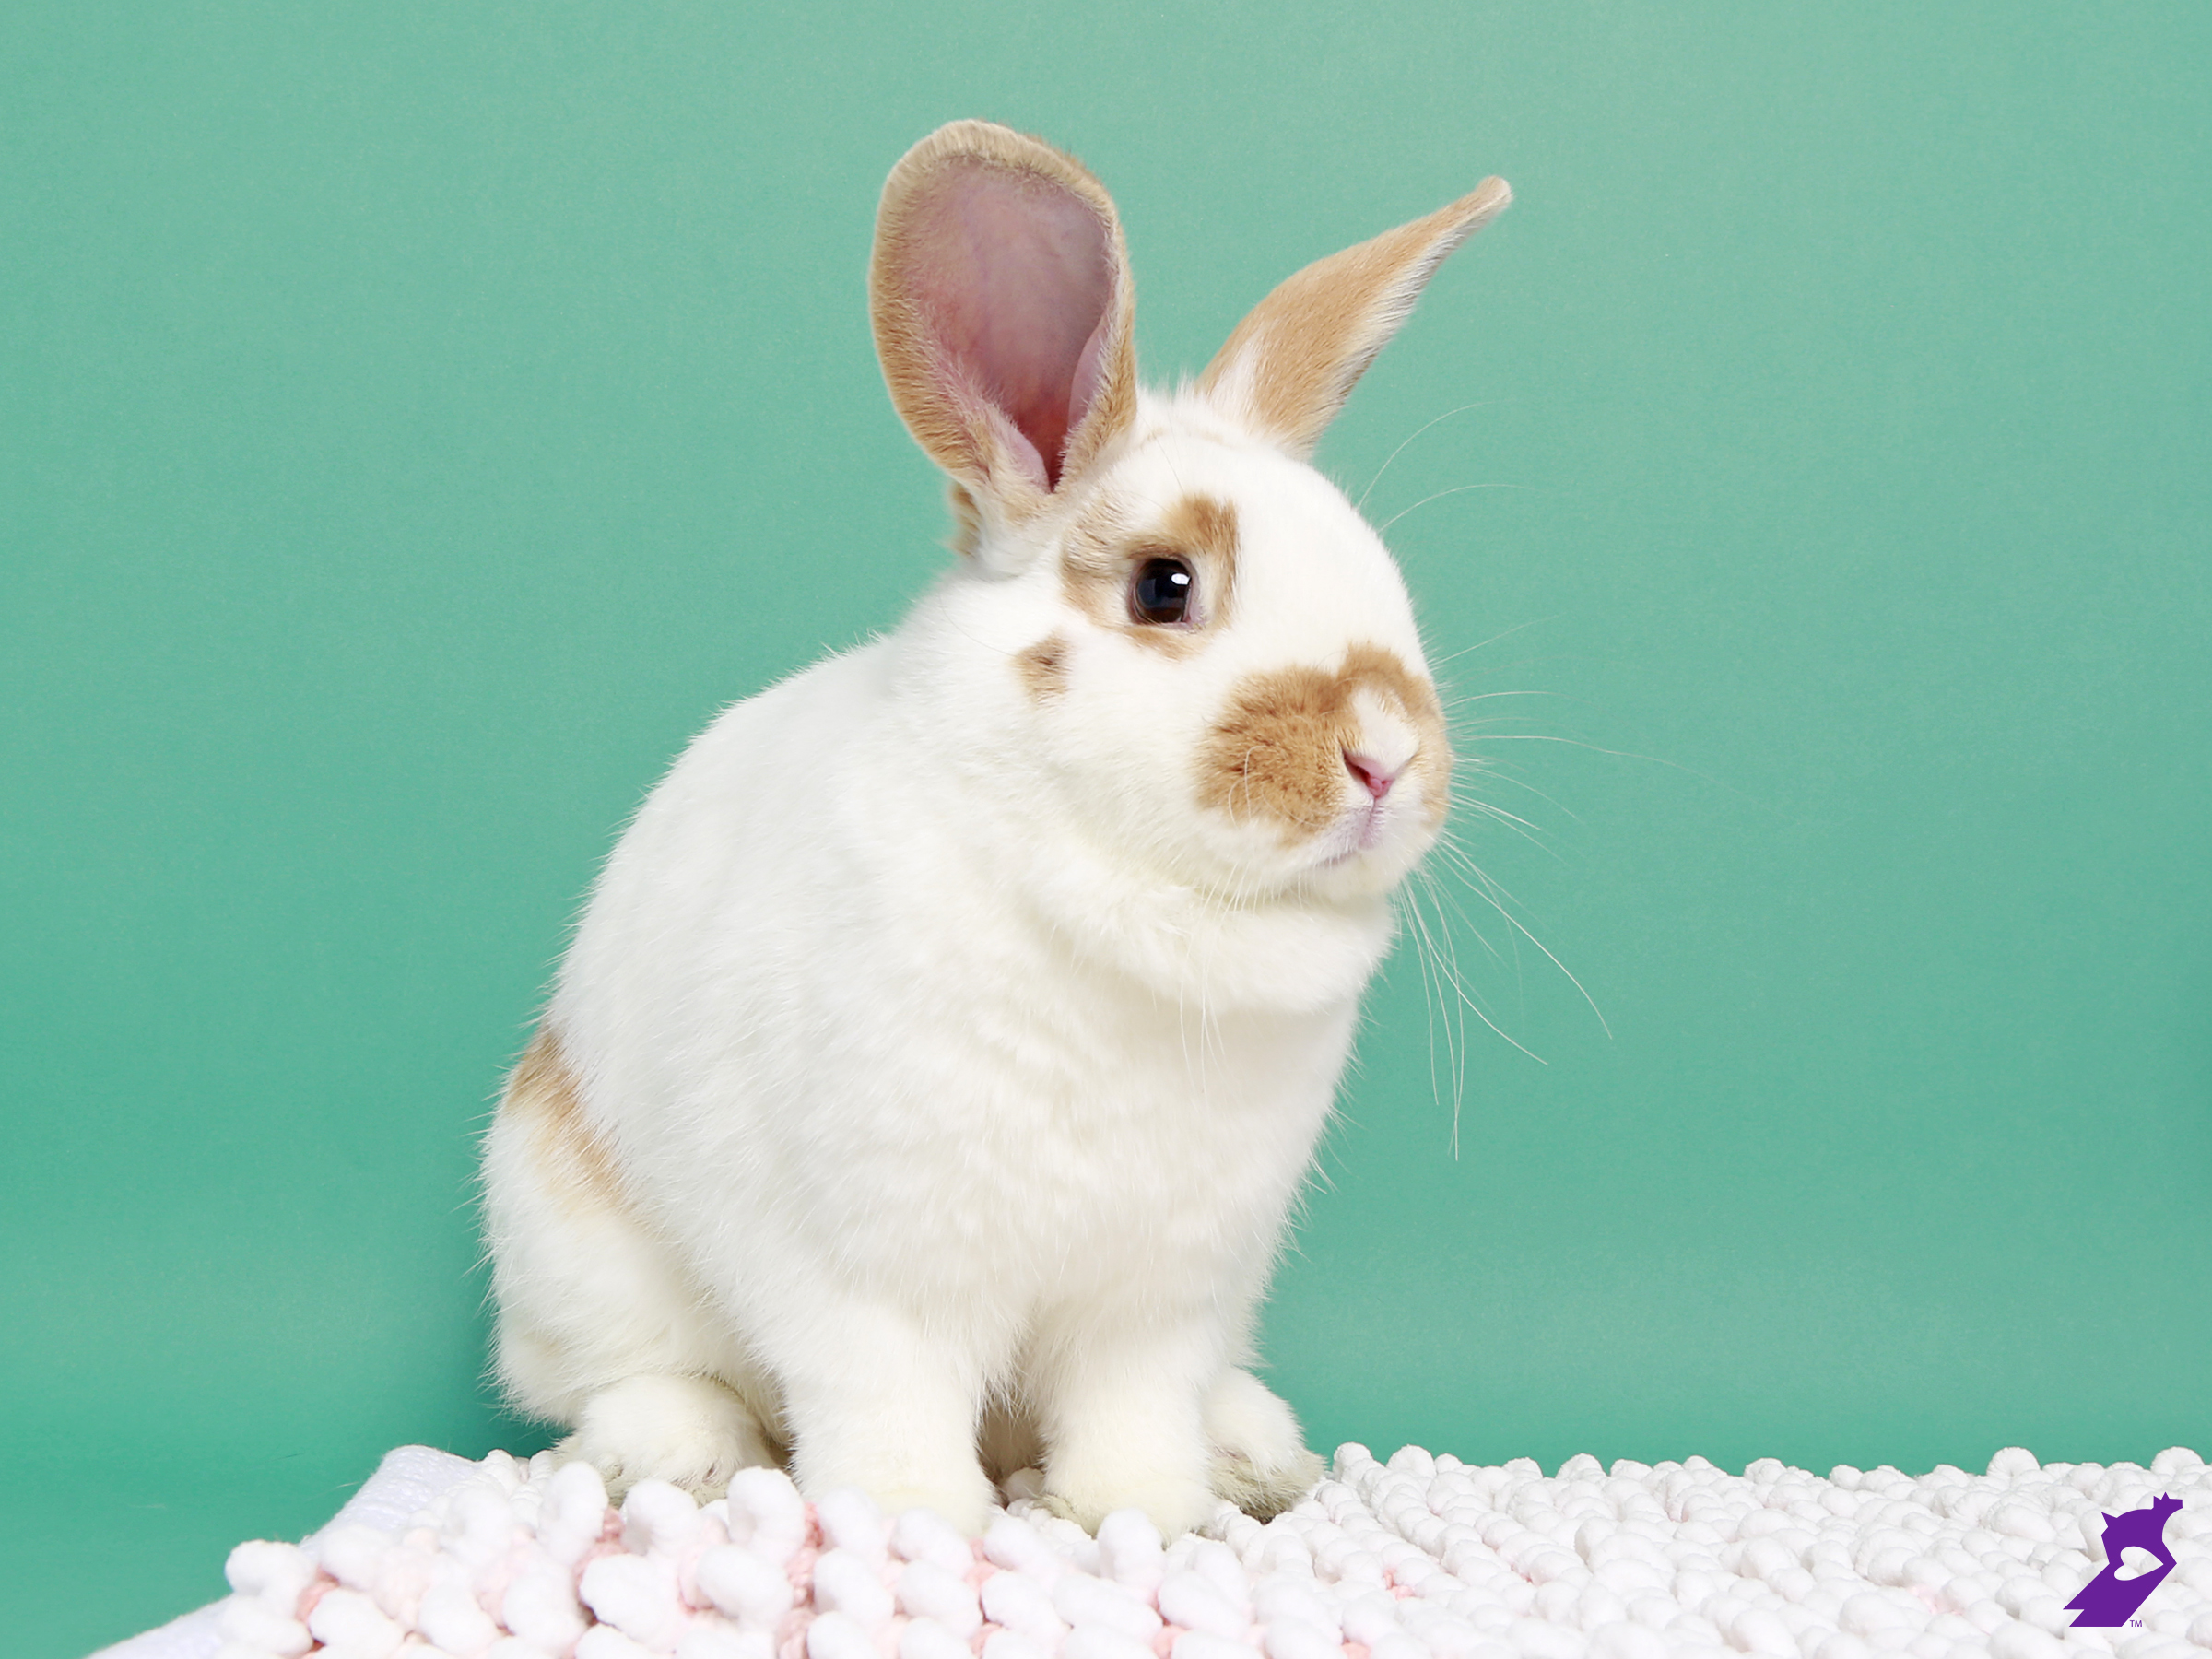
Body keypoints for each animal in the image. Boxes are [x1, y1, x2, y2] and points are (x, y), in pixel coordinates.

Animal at [480, 118, 1510, 1538]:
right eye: (1165, 586)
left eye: (1381, 577)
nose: (1387, 756)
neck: (1137, 903)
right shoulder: (871, 1271)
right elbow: (887, 1393)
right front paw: (911, 1518)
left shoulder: (1162, 1295)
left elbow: (1129, 1405)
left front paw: (1144, 1513)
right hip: (569, 1240)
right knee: (617, 1380)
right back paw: (681, 1451)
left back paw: (1248, 1454)